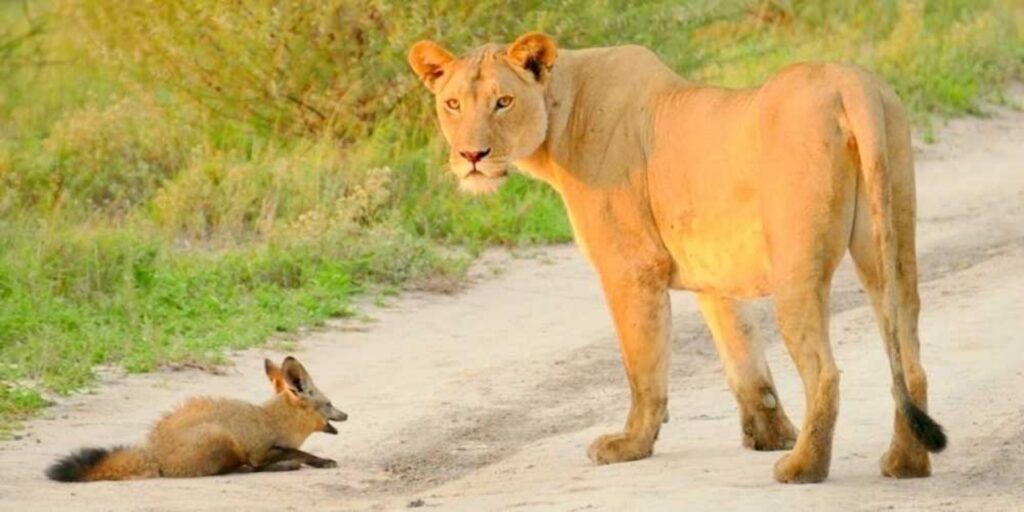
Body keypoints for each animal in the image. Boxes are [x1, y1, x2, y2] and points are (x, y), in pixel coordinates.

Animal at [46, 358, 348, 481]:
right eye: (329, 404)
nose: (346, 414)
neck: (275, 420)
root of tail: (153, 453)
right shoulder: (260, 450)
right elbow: (297, 452)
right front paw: (320, 461)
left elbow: (297, 451)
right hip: (223, 437)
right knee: (244, 469)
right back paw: (281, 467)